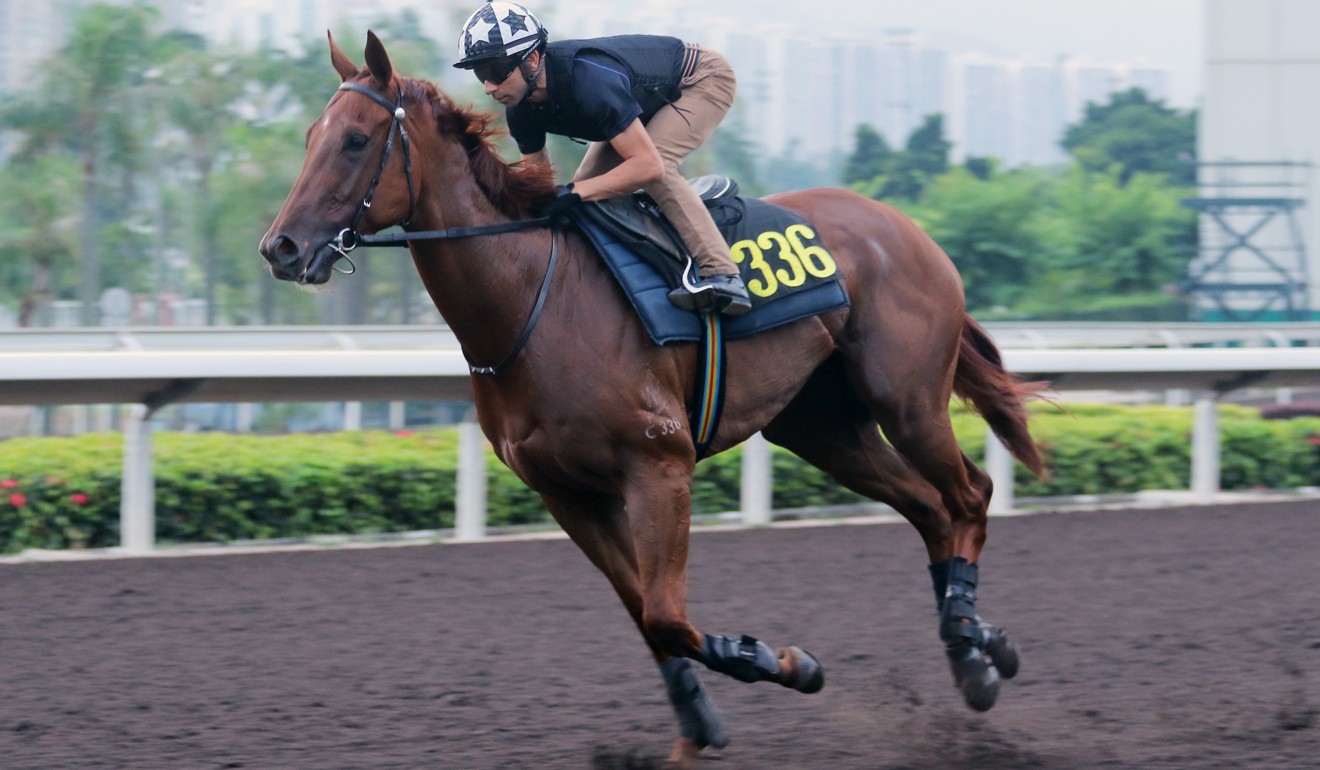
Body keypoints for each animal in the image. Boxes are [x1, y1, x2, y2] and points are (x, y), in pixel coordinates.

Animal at [254, 33, 1040, 766]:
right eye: (310, 137)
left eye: (355, 141)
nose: (280, 248)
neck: (533, 300)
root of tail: (906, 227)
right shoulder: (567, 492)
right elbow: (644, 615)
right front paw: (698, 725)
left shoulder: (659, 466)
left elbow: (665, 615)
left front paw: (787, 662)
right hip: (822, 429)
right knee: (930, 510)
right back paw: (977, 648)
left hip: (905, 399)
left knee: (969, 494)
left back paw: (973, 643)